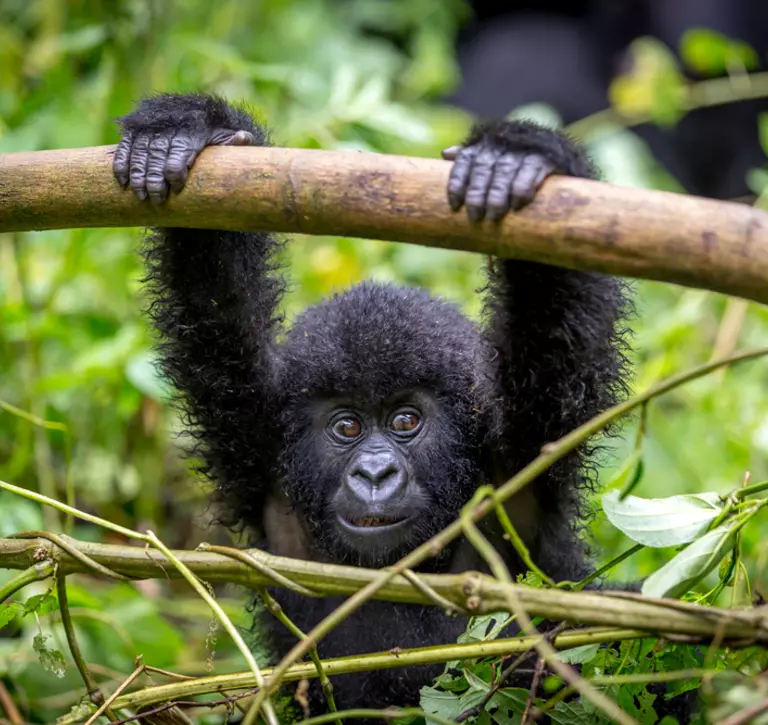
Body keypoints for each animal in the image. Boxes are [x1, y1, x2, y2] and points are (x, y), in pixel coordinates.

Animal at [114, 93, 632, 708]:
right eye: (347, 428)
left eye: (406, 419)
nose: (375, 473)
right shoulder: (255, 440)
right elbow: (213, 301)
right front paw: (185, 131)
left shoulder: (525, 452)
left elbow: (555, 321)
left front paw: (519, 157)